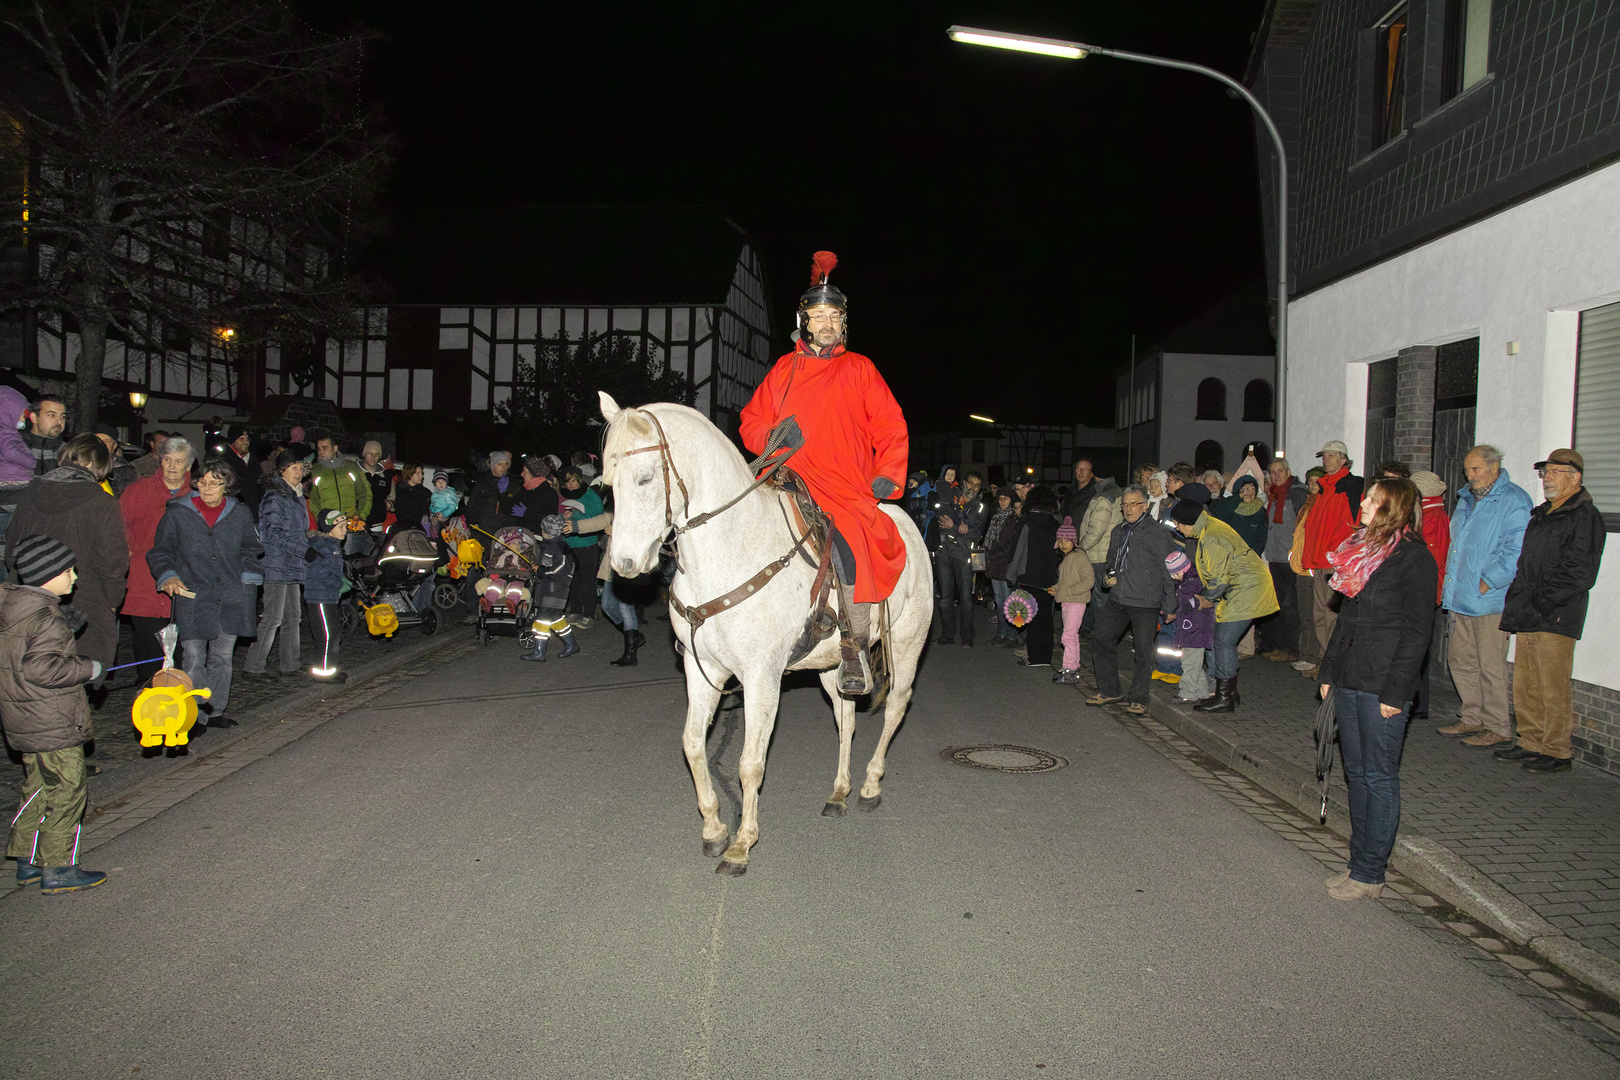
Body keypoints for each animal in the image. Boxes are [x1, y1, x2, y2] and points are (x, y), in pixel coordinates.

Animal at [599, 393, 933, 874]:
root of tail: (905, 522)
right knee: (846, 717)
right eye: (607, 483)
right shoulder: (701, 669)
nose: (624, 563)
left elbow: (749, 764)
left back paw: (870, 785)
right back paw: (839, 791)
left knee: (894, 709)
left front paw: (741, 844)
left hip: (907, 644)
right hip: (832, 664)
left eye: (644, 478)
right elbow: (693, 745)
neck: (728, 551)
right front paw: (714, 828)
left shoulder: (761, 677)